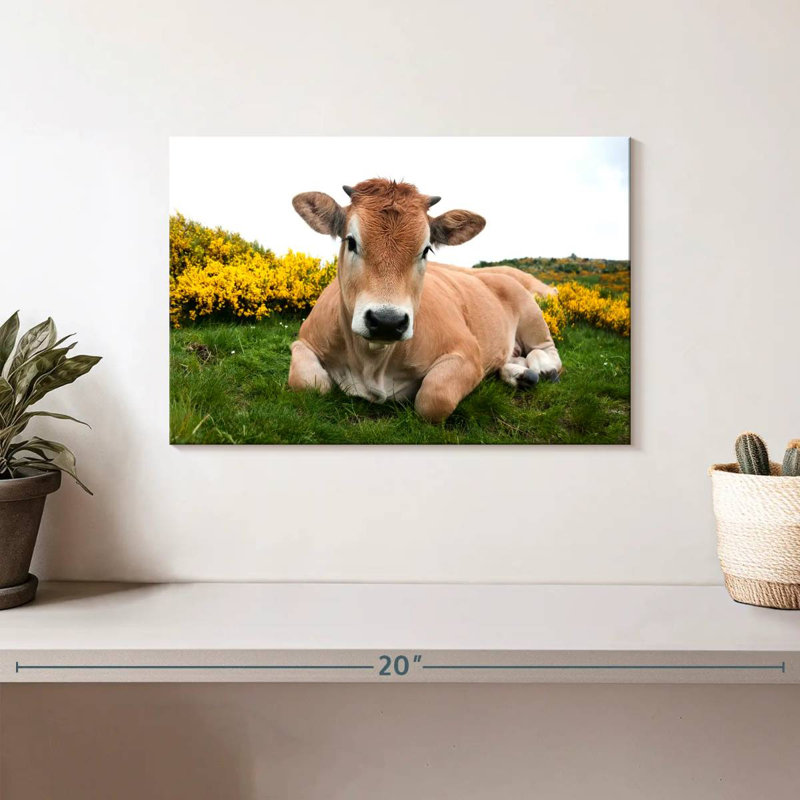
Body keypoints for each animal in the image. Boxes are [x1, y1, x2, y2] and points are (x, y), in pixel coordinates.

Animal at [288, 179, 562, 423]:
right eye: (351, 241)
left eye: (426, 249)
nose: (387, 321)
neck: (372, 363)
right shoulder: (304, 341)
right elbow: (309, 383)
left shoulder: (467, 353)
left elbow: (433, 398)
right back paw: (520, 373)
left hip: (532, 317)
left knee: (549, 352)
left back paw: (543, 368)